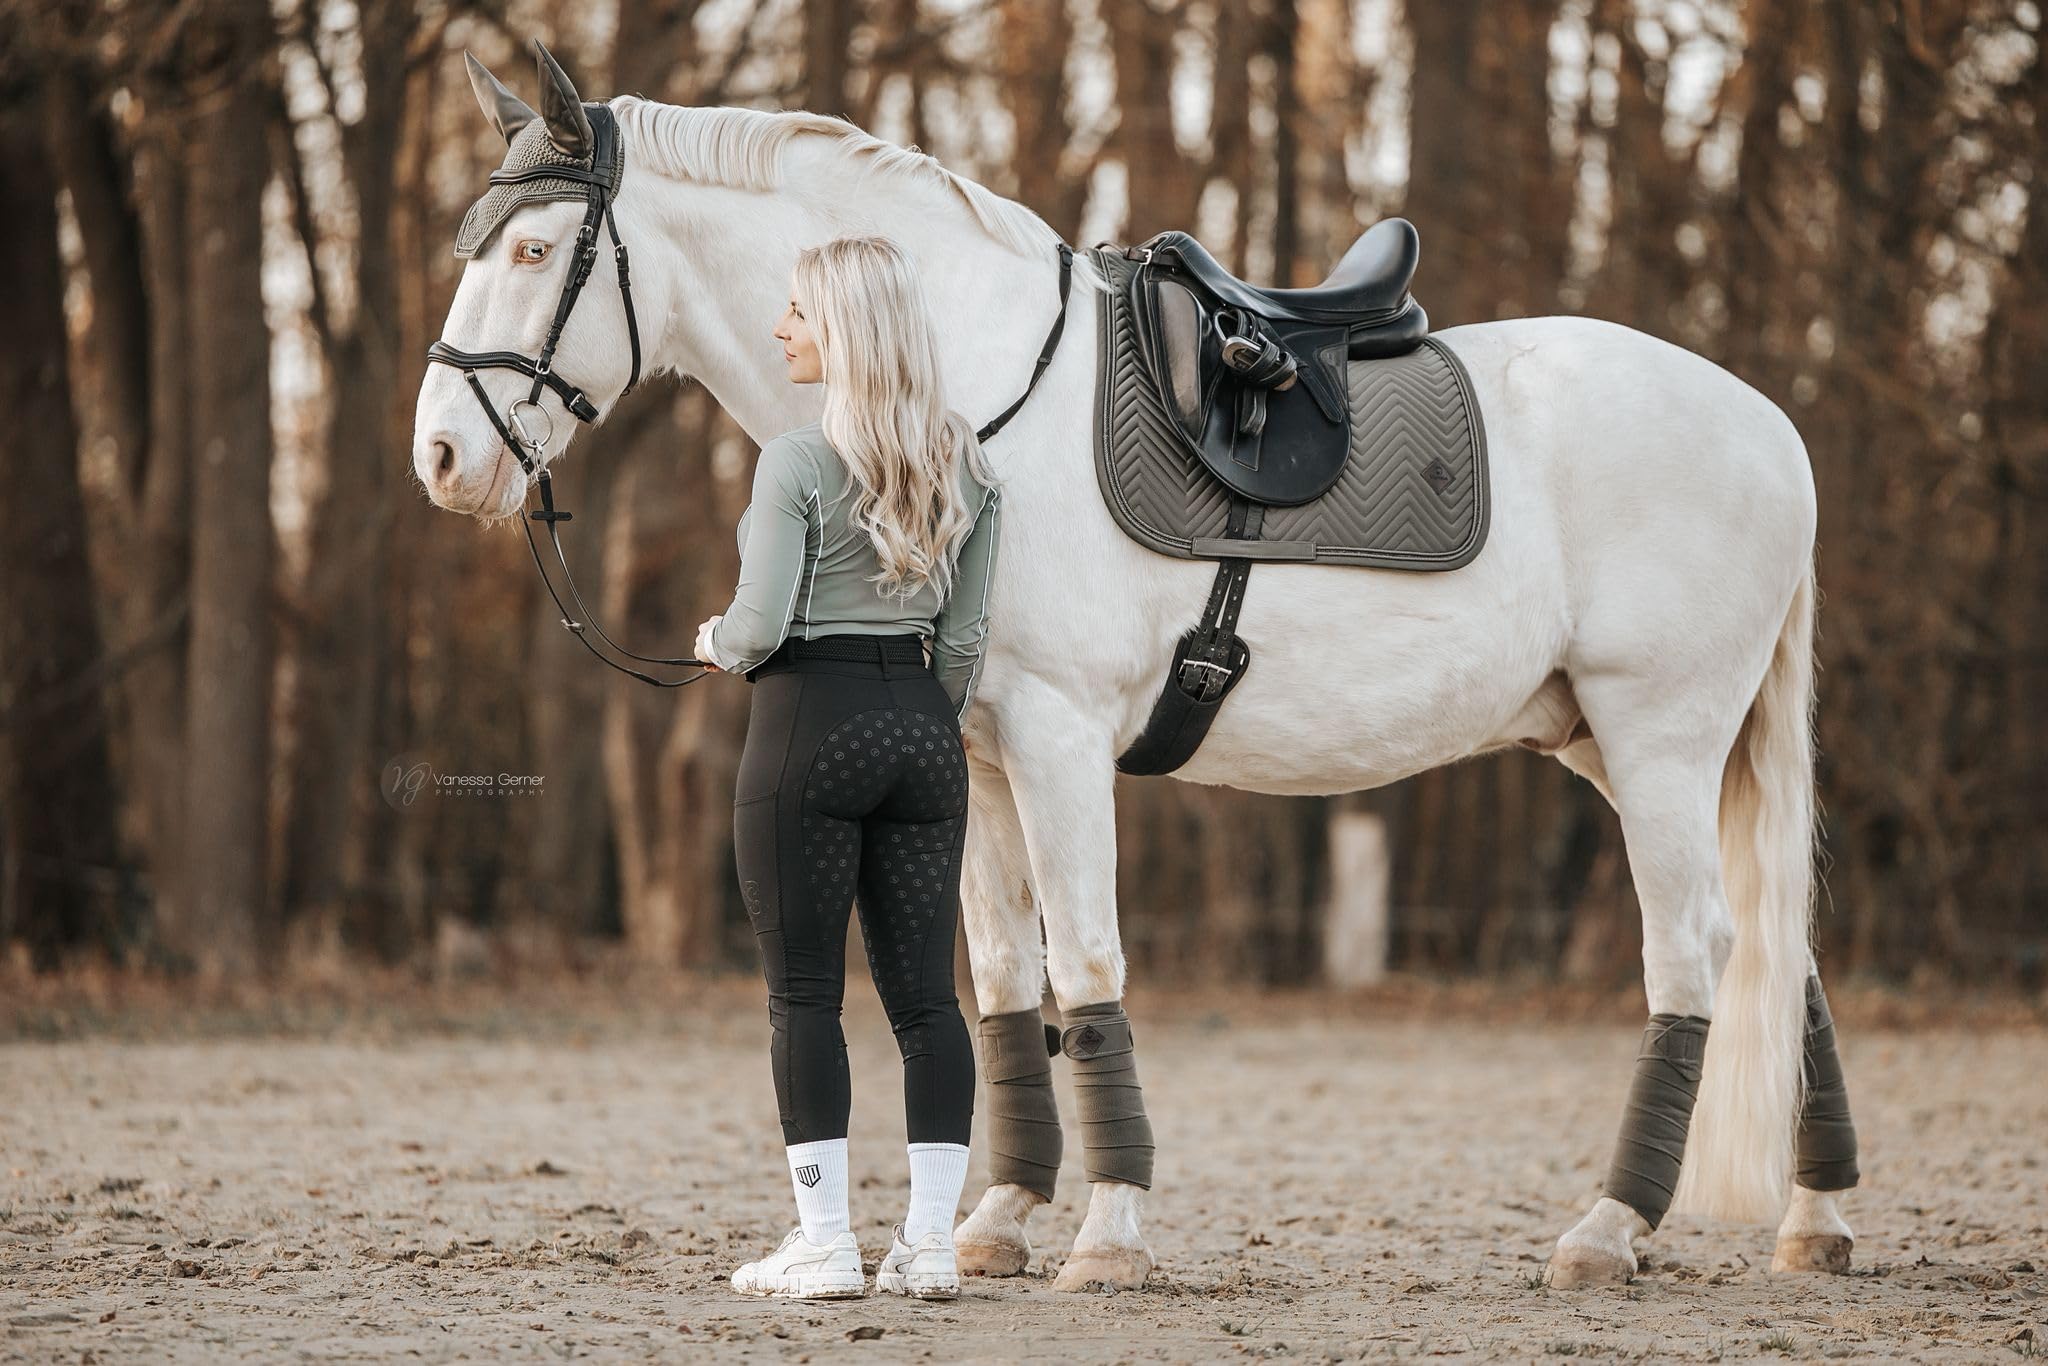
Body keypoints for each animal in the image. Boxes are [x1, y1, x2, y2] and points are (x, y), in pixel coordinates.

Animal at [411, 49, 1859, 1293]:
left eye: (533, 249)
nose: (440, 459)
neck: (959, 394)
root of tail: (1773, 426)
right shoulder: (981, 756)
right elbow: (1005, 979)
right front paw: (998, 1217)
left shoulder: (1058, 744)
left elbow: (1087, 960)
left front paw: (1106, 1231)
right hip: (1619, 750)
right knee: (1774, 943)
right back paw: (1816, 1219)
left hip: (1657, 741)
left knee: (1693, 950)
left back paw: (1609, 1228)